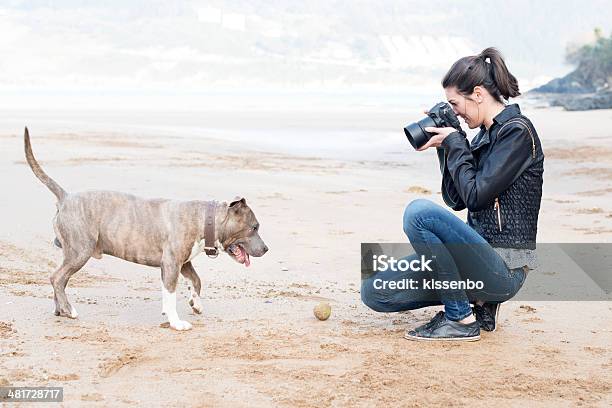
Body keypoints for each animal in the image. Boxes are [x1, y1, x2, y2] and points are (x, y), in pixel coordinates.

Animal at [23, 129, 268, 330]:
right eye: (254, 227)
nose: (266, 249)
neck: (204, 219)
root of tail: (66, 197)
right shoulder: (171, 263)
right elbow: (170, 293)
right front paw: (176, 322)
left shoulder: (183, 263)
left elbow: (196, 280)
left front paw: (195, 303)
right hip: (80, 250)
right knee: (57, 278)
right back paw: (69, 310)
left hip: (72, 252)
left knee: (60, 279)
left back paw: (60, 310)